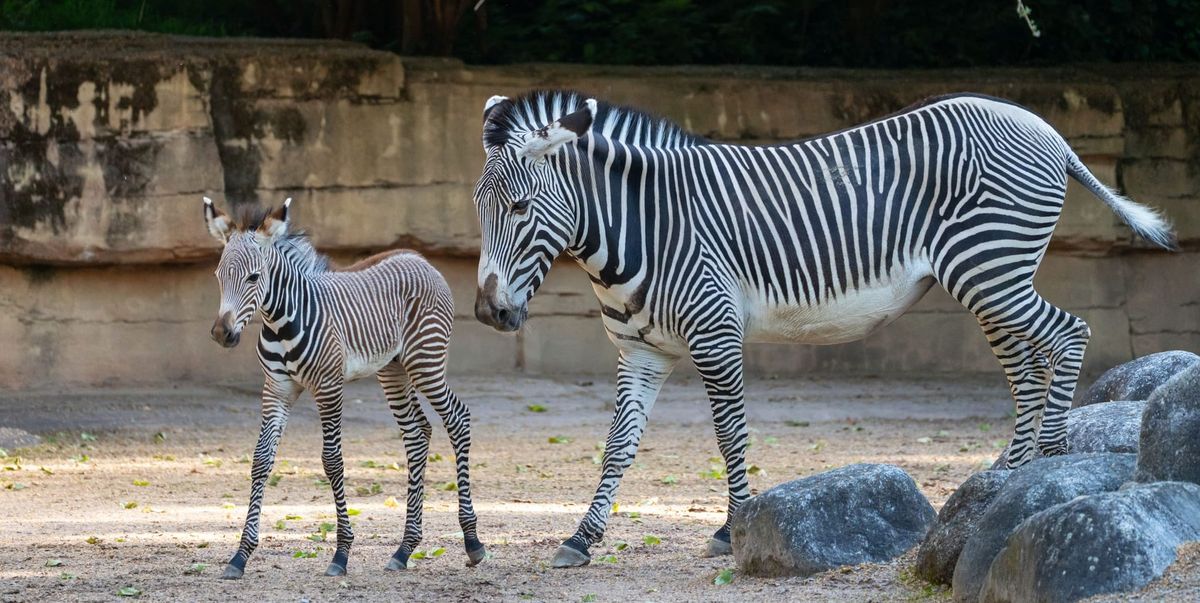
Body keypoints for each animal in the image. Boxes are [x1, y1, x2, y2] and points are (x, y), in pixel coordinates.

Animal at [201, 197, 486, 579]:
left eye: (253, 277)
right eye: (219, 276)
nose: (222, 334)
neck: (280, 321)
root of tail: (420, 259)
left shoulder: (328, 387)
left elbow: (332, 461)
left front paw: (341, 553)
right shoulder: (276, 389)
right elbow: (261, 460)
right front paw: (240, 556)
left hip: (426, 361)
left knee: (457, 419)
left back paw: (472, 541)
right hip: (393, 369)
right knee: (417, 433)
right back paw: (404, 549)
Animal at [469, 90, 1174, 567]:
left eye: (521, 208)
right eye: (480, 208)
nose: (488, 314)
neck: (639, 229)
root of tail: (1044, 127)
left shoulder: (715, 334)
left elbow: (730, 435)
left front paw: (733, 529)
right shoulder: (640, 352)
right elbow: (617, 446)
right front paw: (581, 538)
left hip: (988, 264)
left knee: (1068, 333)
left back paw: (1048, 463)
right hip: (990, 276)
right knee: (1025, 361)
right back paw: (1011, 476)